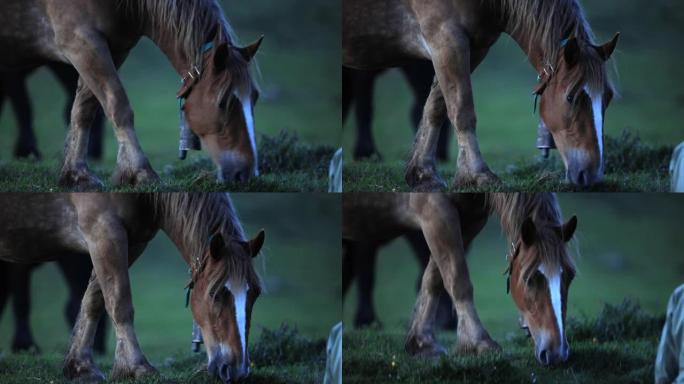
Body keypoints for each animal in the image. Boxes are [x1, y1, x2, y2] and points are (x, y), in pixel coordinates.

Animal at [0, 194, 264, 382]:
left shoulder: (131, 242)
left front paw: (81, 366)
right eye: (214, 294)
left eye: (255, 294)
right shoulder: (104, 232)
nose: (237, 369)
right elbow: (119, 303)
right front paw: (137, 367)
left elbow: (95, 300)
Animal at [342, 194, 576, 364]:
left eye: (570, 276)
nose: (557, 353)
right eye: (530, 278)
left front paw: (422, 342)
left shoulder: (469, 217)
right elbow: (458, 280)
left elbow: (434, 278)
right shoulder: (435, 209)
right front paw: (480, 343)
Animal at [344, 0, 616, 189]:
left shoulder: (473, 48)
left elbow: (436, 107)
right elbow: (462, 111)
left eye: (608, 99)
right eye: (571, 97)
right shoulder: (447, 40)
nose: (592, 174)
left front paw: (423, 173)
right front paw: (478, 174)